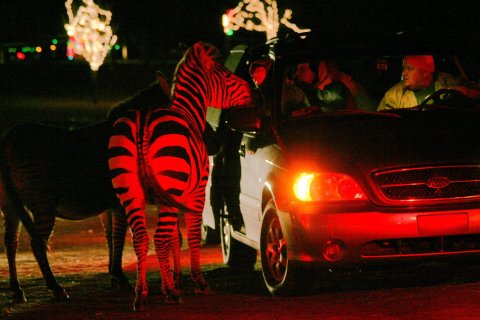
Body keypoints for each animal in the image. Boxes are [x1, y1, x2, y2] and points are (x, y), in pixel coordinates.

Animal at [0, 74, 172, 304]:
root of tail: (8, 137)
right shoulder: (120, 201)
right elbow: (120, 237)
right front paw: (120, 278)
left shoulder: (109, 205)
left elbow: (110, 238)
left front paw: (114, 277)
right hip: (42, 202)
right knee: (37, 244)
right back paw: (56, 288)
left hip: (11, 205)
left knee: (11, 242)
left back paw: (17, 290)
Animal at [108, 41, 251, 312]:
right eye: (226, 75)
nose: (251, 89)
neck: (189, 113)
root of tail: (142, 120)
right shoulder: (195, 193)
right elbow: (192, 235)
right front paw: (196, 283)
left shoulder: (167, 199)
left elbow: (176, 238)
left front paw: (171, 282)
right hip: (169, 185)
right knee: (158, 237)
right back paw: (172, 295)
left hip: (129, 193)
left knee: (141, 238)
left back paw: (141, 295)